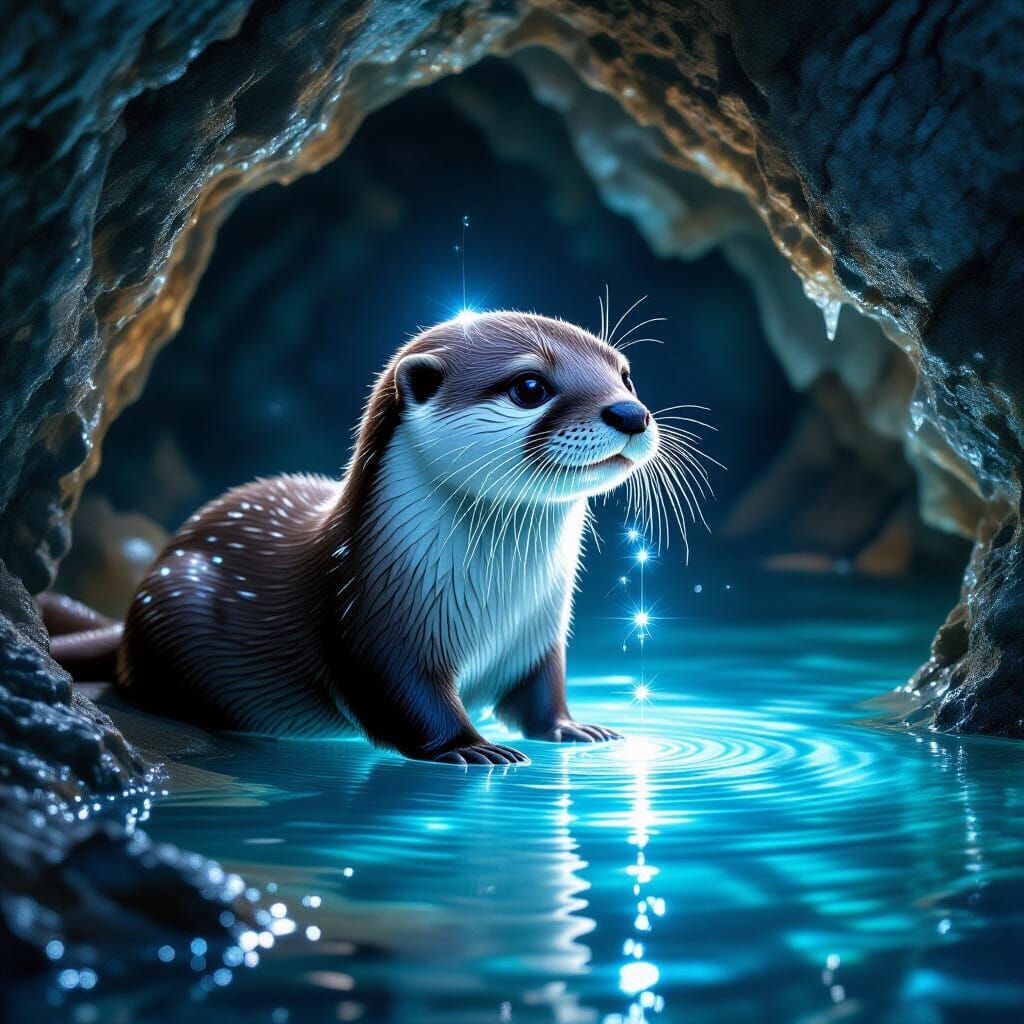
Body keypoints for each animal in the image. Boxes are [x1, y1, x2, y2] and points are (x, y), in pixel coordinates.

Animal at [47, 312, 665, 765]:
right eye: (530, 386)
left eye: (626, 374)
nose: (630, 411)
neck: (496, 605)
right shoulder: (369, 624)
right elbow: (405, 701)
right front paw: (472, 748)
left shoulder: (540, 632)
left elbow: (542, 694)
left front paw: (574, 727)